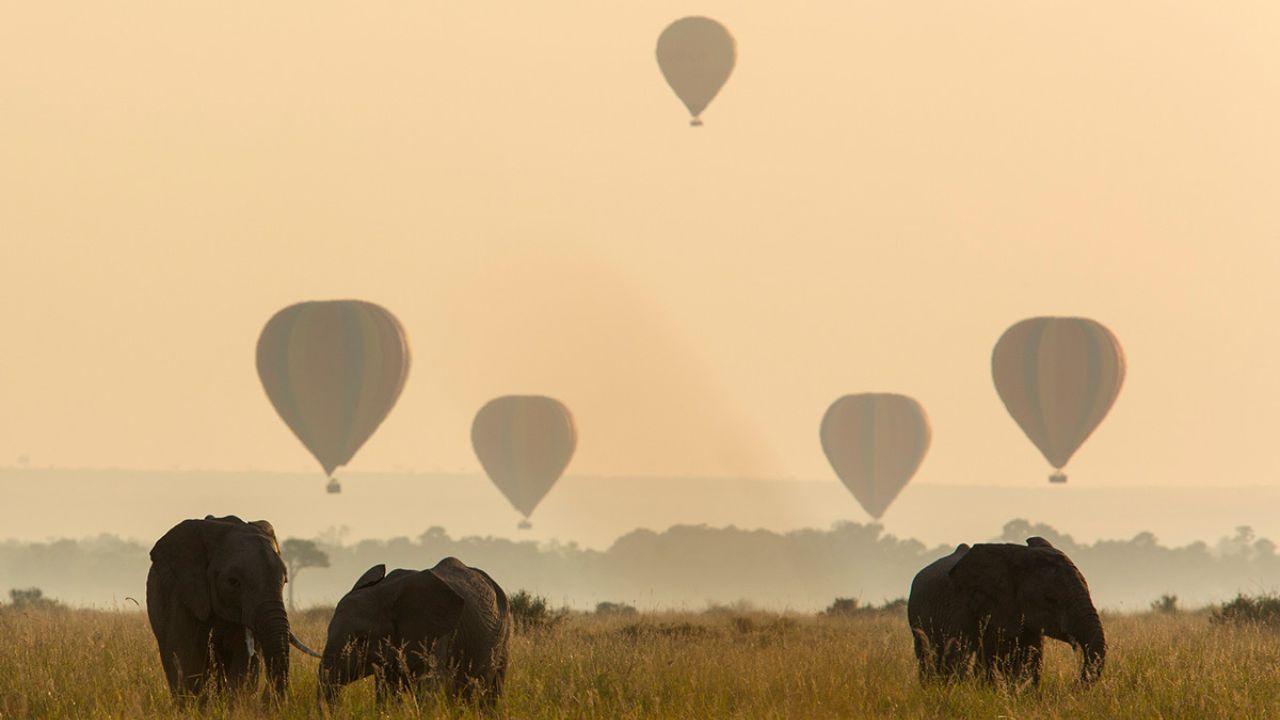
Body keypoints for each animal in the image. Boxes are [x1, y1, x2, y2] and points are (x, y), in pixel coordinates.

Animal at [146, 515, 321, 702]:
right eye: (233, 582)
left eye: (285, 580)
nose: (266, 696)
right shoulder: (182, 596)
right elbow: (187, 660)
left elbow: (243, 664)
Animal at [319, 557, 511, 706]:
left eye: (362, 639)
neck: (386, 592)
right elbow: (386, 695)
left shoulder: (437, 636)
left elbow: (427, 689)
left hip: (505, 632)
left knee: (491, 692)